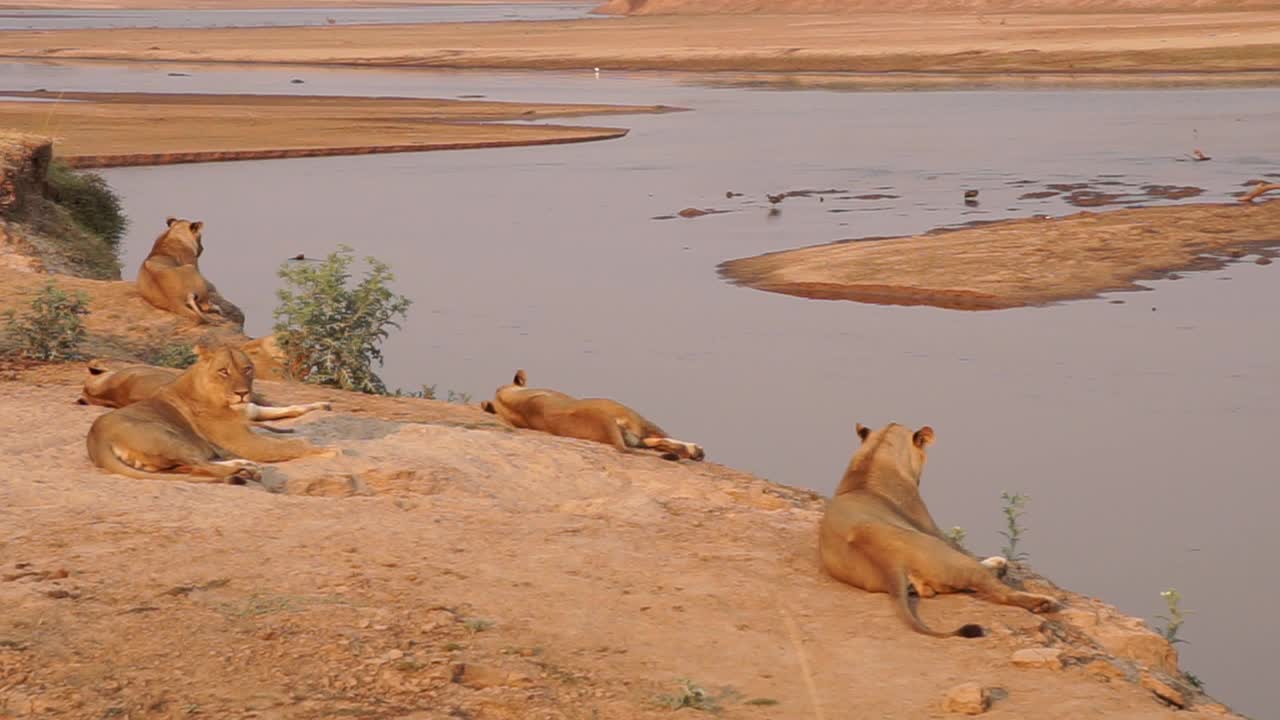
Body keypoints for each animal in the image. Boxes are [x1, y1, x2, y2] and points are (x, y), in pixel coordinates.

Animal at [819, 420, 1059, 632]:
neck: (872, 458)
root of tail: (889, 562)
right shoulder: (935, 530)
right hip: (947, 555)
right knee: (996, 587)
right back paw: (1041, 599)